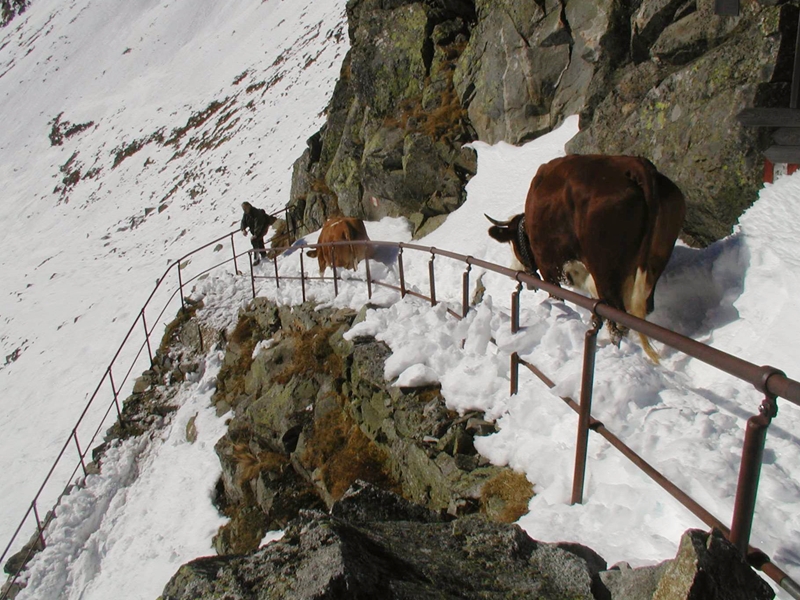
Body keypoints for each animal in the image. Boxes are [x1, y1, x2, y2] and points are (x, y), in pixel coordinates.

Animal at [488, 155, 688, 360]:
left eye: (513, 244)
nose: (516, 268)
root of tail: (636, 166)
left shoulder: (549, 270)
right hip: (654, 265)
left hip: (606, 272)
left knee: (618, 321)